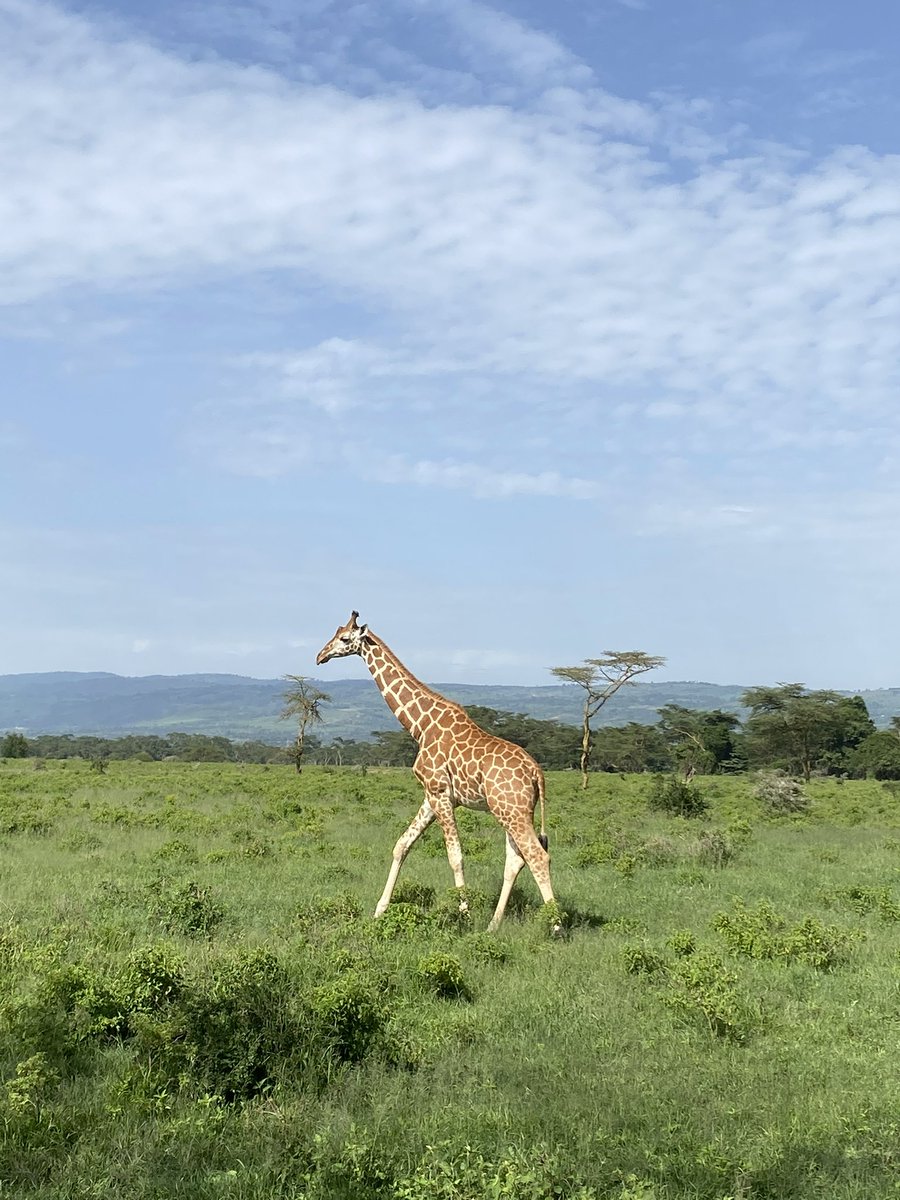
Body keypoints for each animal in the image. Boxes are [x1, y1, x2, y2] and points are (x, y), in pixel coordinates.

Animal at [315, 612, 558, 931]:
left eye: (344, 638)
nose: (320, 656)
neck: (419, 726)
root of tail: (536, 772)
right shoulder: (431, 796)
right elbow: (401, 845)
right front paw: (379, 910)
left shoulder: (440, 793)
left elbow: (455, 856)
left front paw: (464, 915)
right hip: (512, 810)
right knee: (517, 859)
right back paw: (493, 924)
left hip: (512, 811)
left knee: (537, 856)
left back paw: (556, 925)